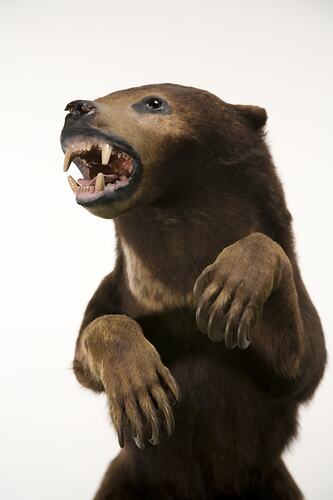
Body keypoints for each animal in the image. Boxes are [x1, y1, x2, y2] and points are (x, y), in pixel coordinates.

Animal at [61, 84, 326, 498]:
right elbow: (88, 345)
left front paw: (227, 293)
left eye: (153, 102)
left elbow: (298, 363)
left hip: (271, 482)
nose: (75, 108)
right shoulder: (119, 291)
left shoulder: (295, 338)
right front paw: (142, 389)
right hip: (126, 480)